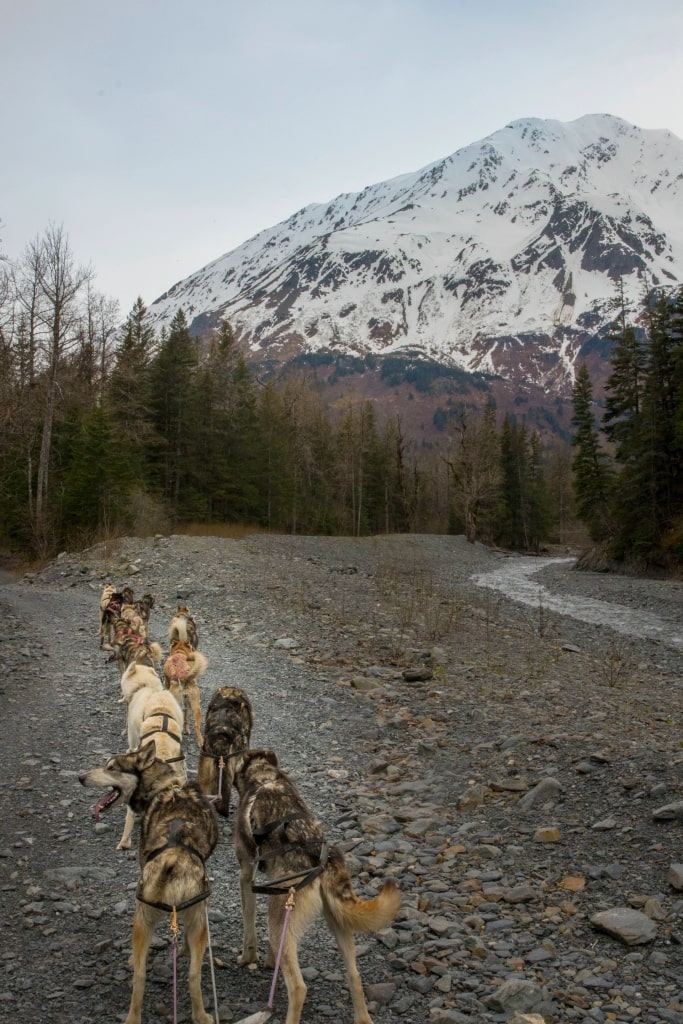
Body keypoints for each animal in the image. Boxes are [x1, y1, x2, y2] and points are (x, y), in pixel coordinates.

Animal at [79, 745, 219, 1024]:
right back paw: (200, 1015)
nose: (80, 777)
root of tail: (172, 859)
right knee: (192, 976)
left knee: (141, 976)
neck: (166, 786)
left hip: (144, 920)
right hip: (193, 920)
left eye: (111, 768)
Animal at [233, 745, 401, 1024]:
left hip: (285, 919)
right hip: (337, 922)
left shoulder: (247, 876)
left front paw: (248, 957)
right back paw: (362, 1016)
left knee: (298, 988)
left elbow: (249, 928)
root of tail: (320, 860)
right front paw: (270, 960)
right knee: (354, 975)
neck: (265, 777)